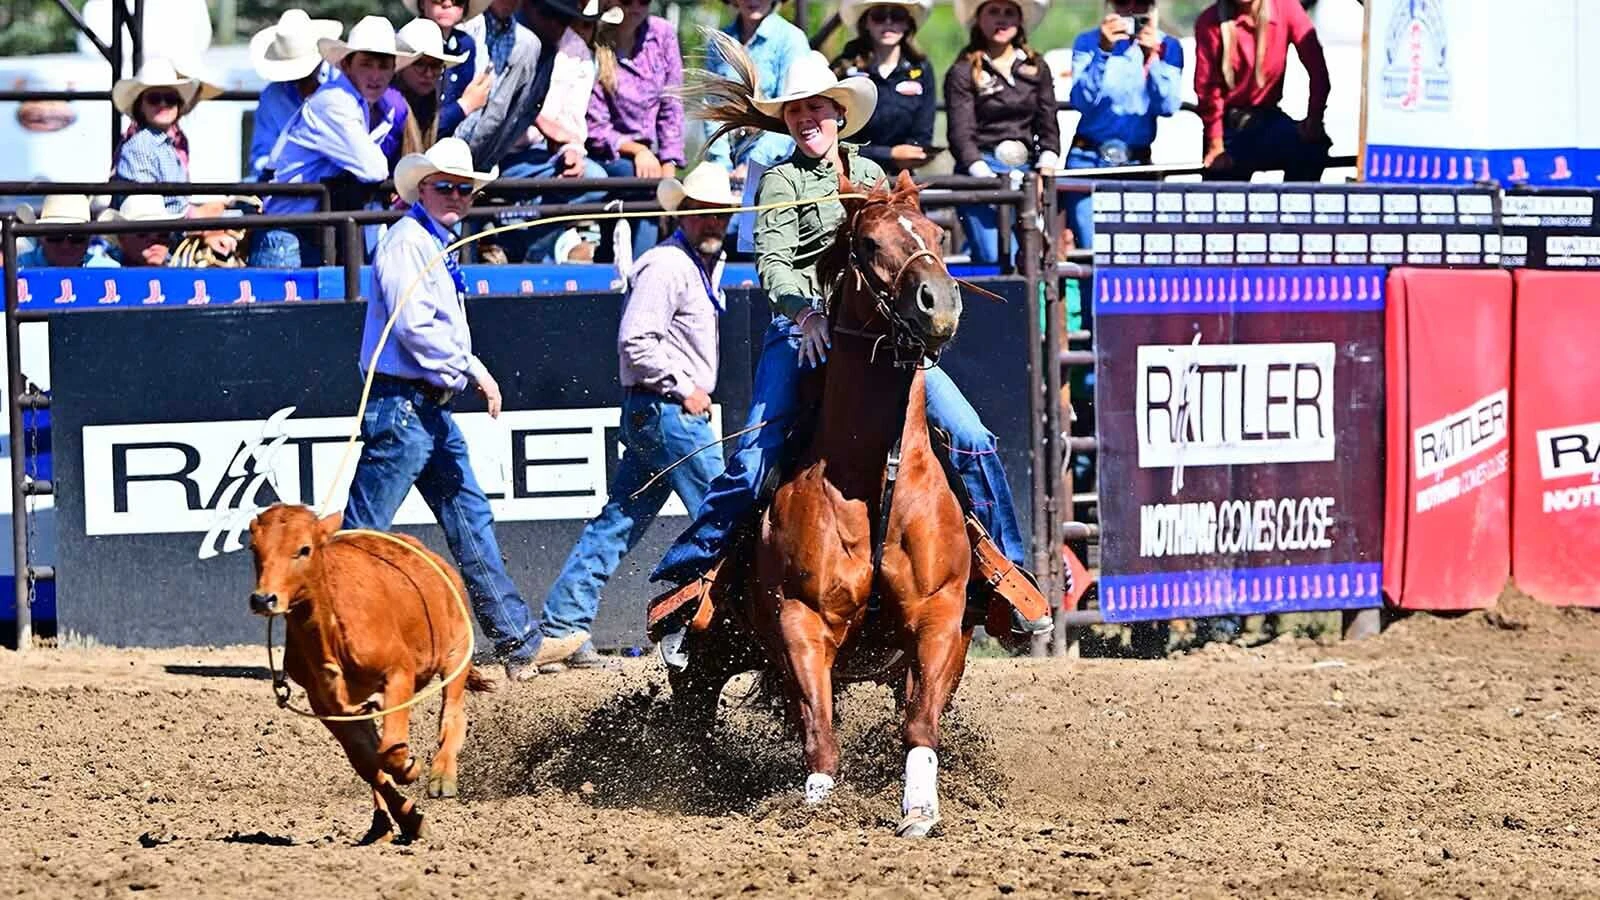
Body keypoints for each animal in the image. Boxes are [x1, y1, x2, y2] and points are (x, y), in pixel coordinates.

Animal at [248, 505, 491, 843]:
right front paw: (411, 820)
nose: (263, 599)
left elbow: (391, 750)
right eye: (254, 548)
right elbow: (367, 762)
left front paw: (410, 769)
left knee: (452, 714)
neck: (332, 633)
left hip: (456, 653)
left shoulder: (398, 674)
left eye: (304, 549)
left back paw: (442, 777)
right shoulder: (325, 704)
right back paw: (381, 826)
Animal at [667, 170, 972, 838]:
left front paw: (919, 809)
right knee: (695, 713)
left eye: (937, 234)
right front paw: (820, 806)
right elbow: (819, 729)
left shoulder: (939, 617)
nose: (940, 304)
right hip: (709, 652)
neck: (873, 480)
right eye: (868, 244)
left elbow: (919, 721)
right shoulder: (801, 620)